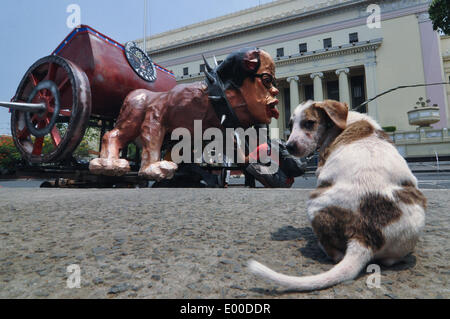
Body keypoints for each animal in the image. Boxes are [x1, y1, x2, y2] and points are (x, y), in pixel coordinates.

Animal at [248, 100, 428, 292]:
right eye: (290, 125)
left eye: (309, 123)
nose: (289, 147)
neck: (344, 121)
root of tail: (364, 238)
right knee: (390, 260)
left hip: (314, 204)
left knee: (335, 254)